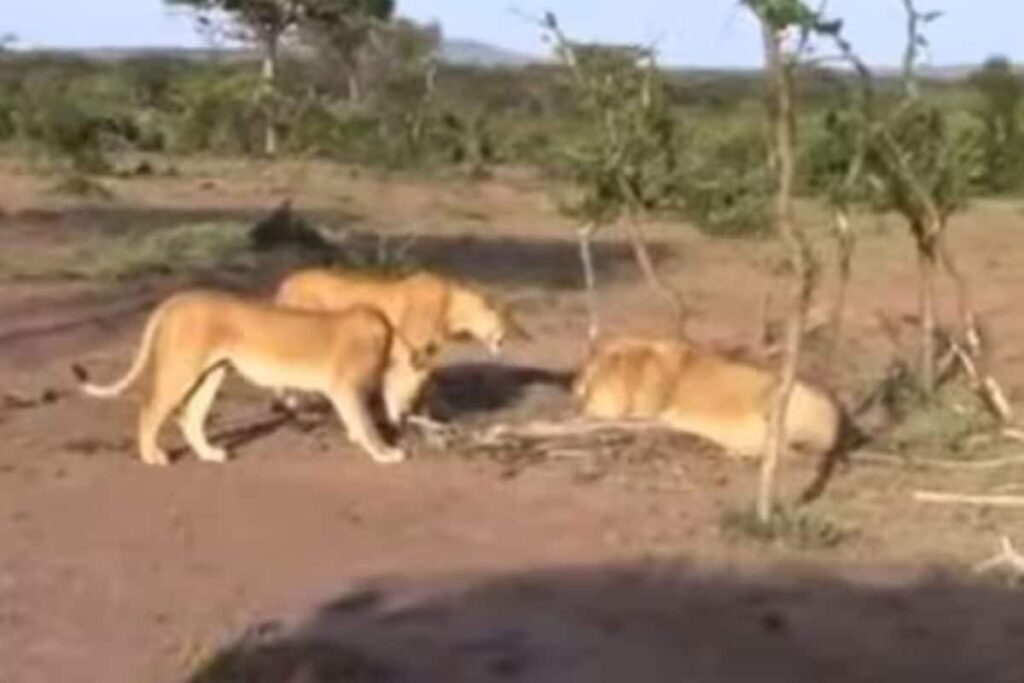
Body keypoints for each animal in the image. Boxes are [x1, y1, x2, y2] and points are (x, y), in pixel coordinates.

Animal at [72, 290, 428, 467]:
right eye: (418, 390)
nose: (408, 414)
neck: (390, 341)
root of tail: (179, 298)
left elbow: (358, 422)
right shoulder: (346, 387)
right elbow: (367, 423)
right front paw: (386, 453)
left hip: (212, 373)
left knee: (191, 415)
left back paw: (210, 454)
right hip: (182, 367)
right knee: (151, 409)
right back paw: (153, 457)